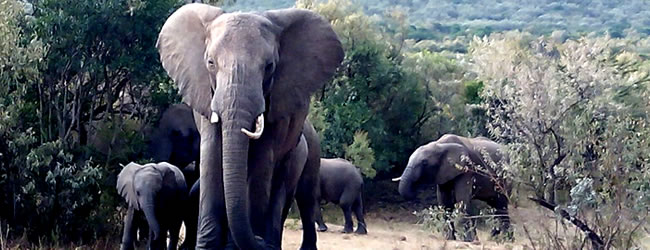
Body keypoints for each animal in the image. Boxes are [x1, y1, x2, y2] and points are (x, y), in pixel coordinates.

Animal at [156, 2, 344, 249]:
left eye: (270, 66)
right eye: (210, 63)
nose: (259, 241)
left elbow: (261, 162)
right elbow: (211, 156)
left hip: (309, 152)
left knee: (299, 196)